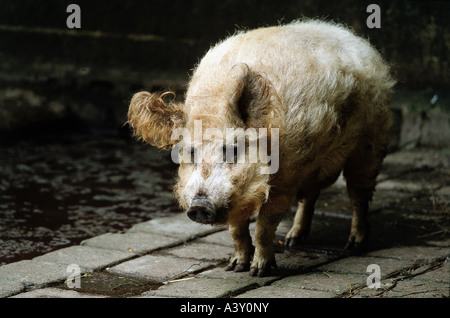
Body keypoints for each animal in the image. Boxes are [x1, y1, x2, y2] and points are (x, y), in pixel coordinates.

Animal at [126, 19, 394, 276]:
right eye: (191, 152)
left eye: (232, 149)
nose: (200, 205)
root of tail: (354, 38)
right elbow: (236, 229)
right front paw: (235, 267)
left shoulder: (285, 180)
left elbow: (264, 226)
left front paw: (259, 272)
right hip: (316, 164)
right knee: (310, 196)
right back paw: (293, 241)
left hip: (371, 142)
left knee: (358, 195)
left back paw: (354, 245)